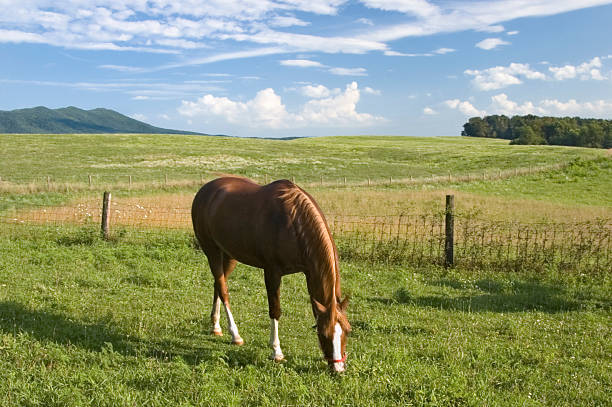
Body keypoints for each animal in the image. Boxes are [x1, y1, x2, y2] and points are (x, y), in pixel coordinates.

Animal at [194, 175, 352, 372]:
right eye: (323, 333)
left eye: (347, 331)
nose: (338, 369)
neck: (293, 222)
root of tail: (205, 190)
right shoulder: (272, 273)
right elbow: (275, 310)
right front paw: (276, 352)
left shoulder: (308, 272)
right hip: (212, 251)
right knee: (223, 290)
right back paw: (235, 335)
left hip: (230, 255)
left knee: (218, 284)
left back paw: (216, 326)